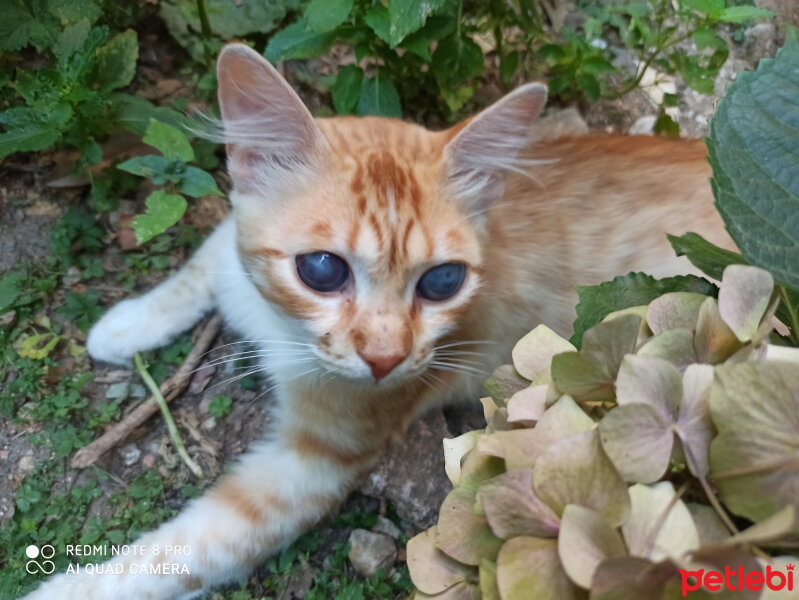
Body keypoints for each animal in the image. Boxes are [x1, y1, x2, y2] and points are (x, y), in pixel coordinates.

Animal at [21, 43, 732, 600]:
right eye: (321, 269)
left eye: (443, 281)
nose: (385, 359)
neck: (276, 321)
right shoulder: (229, 249)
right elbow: (205, 259)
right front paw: (129, 322)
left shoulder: (319, 459)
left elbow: (189, 549)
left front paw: (69, 591)